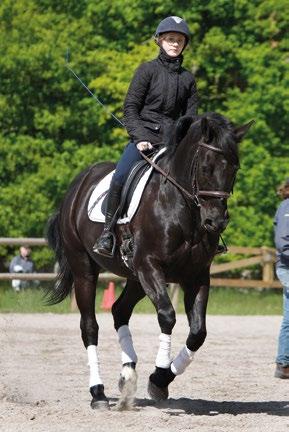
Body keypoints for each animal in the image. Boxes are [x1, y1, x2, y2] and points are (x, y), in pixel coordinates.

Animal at [45, 111, 252, 408]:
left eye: (234, 168)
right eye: (206, 167)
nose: (216, 222)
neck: (181, 207)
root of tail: (77, 186)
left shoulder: (196, 276)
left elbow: (197, 333)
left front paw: (161, 379)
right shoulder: (150, 266)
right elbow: (167, 316)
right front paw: (158, 376)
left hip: (135, 278)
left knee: (120, 310)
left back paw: (127, 374)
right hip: (85, 268)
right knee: (89, 327)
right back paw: (98, 392)